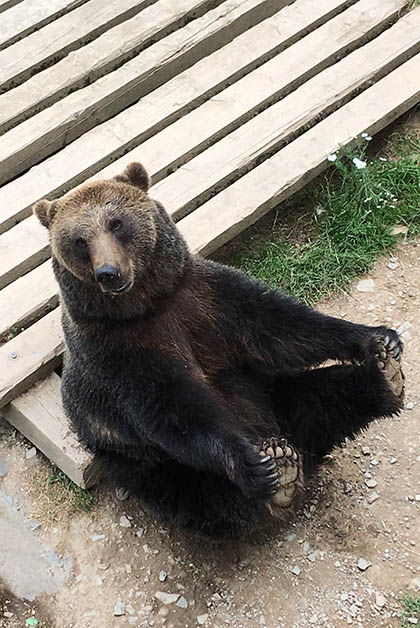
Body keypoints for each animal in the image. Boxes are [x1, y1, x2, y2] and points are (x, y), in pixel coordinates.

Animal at [35, 164, 404, 536]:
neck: (146, 305)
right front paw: (254, 464)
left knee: (324, 397)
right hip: (136, 457)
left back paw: (385, 378)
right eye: (79, 241)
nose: (108, 273)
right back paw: (279, 471)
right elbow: (175, 406)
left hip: (275, 396)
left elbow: (280, 328)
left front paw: (378, 338)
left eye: (116, 223)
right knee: (195, 490)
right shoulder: (118, 352)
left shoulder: (206, 298)